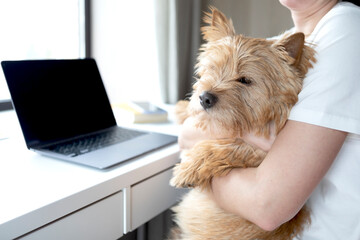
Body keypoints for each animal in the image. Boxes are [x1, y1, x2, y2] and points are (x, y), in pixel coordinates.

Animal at [169, 6, 316, 239]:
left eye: (245, 80)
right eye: (212, 69)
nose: (204, 98)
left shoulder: (262, 151)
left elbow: (229, 146)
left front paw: (187, 169)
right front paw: (183, 108)